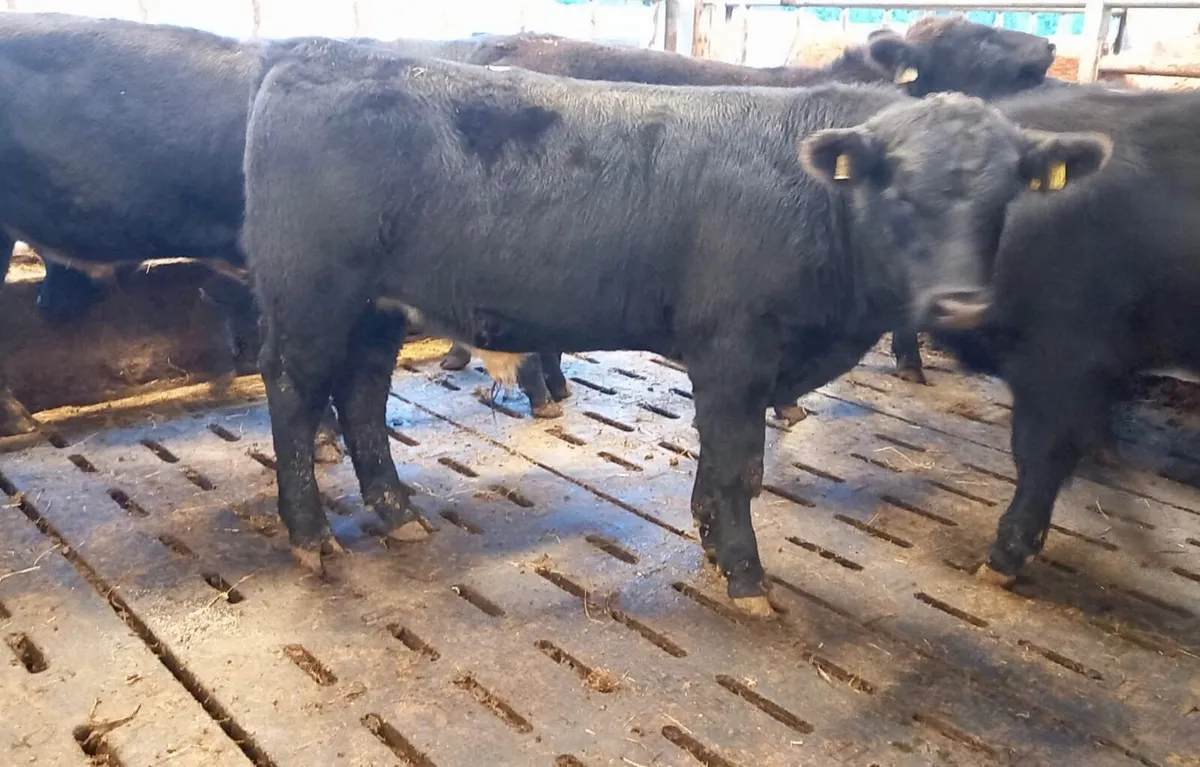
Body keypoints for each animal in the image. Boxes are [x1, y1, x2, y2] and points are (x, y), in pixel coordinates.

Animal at [240, 38, 1111, 615]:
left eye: (1005, 196)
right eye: (898, 190)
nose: (960, 303)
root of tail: (313, 56)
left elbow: (720, 468)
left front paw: (712, 542)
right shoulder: (734, 350)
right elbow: (739, 469)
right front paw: (747, 576)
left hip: (377, 307)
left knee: (359, 398)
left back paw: (398, 512)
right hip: (312, 294)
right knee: (294, 393)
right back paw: (310, 533)